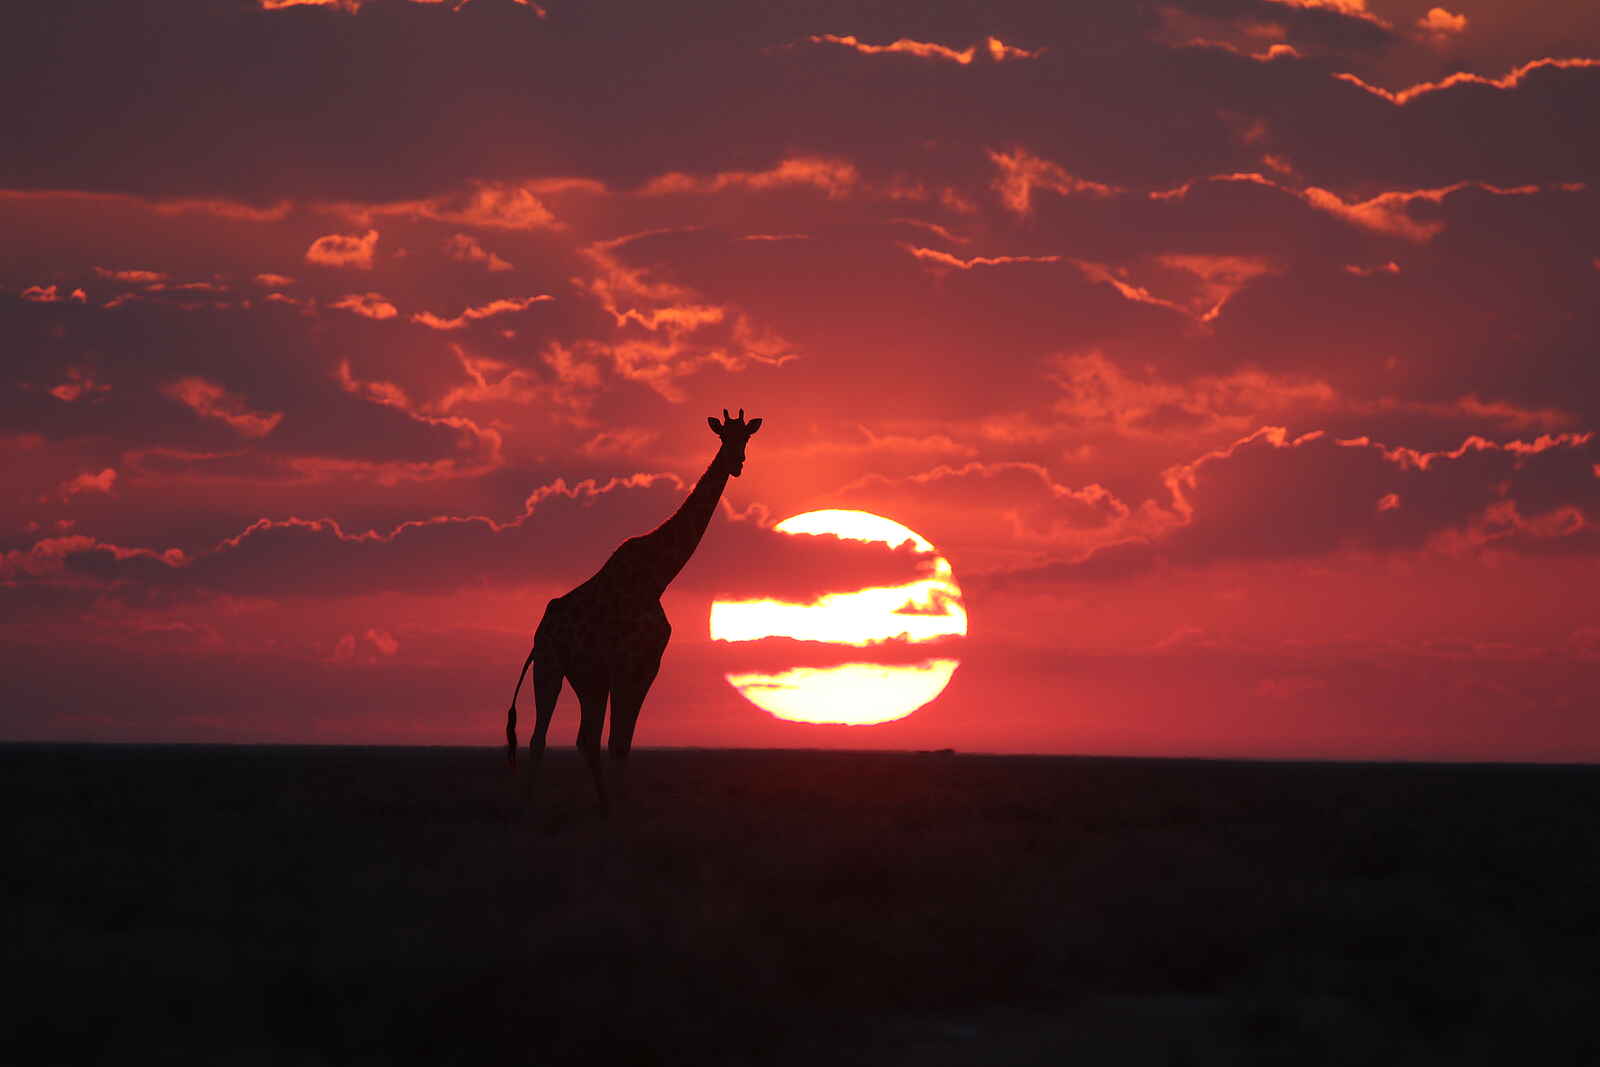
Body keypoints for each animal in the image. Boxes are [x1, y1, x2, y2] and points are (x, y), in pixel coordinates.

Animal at [504, 409, 762, 813]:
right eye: (723, 436)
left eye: (746, 437)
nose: (736, 463)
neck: (658, 578)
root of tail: (539, 630)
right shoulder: (627, 663)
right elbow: (618, 742)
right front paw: (624, 808)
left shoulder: (646, 665)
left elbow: (622, 742)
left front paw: (619, 808)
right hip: (550, 664)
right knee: (538, 737)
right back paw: (531, 805)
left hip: (587, 678)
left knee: (585, 739)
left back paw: (603, 806)